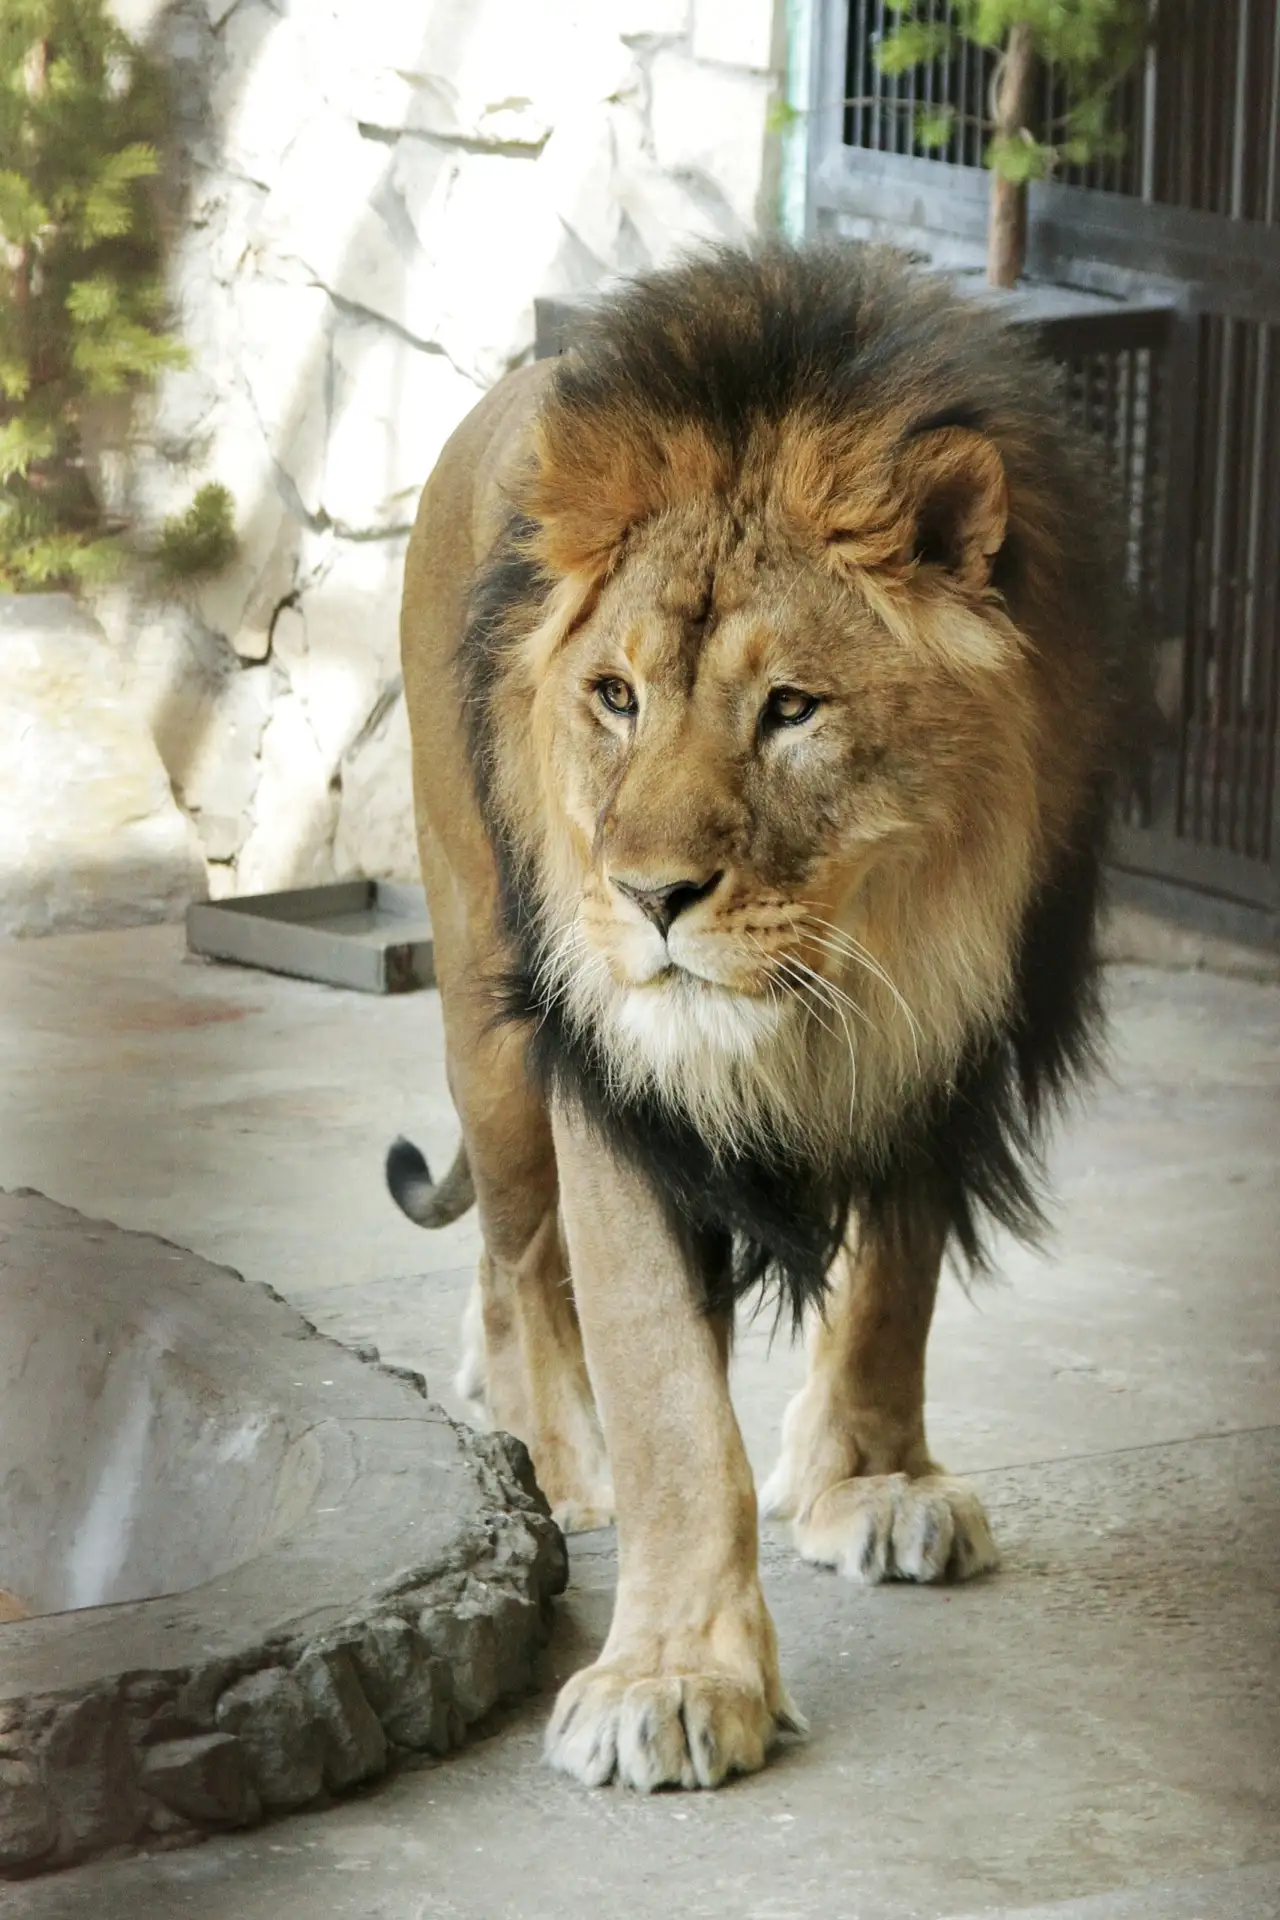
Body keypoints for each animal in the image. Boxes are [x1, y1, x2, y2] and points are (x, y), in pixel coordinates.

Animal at [388, 244, 1137, 1792]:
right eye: (614, 697)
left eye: (792, 707)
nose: (648, 897)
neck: (843, 975)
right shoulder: (608, 1075)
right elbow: (667, 1390)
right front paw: (673, 1675)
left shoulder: (942, 1038)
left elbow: (895, 1283)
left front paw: (872, 1482)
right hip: (488, 1012)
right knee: (522, 1248)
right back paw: (560, 1461)